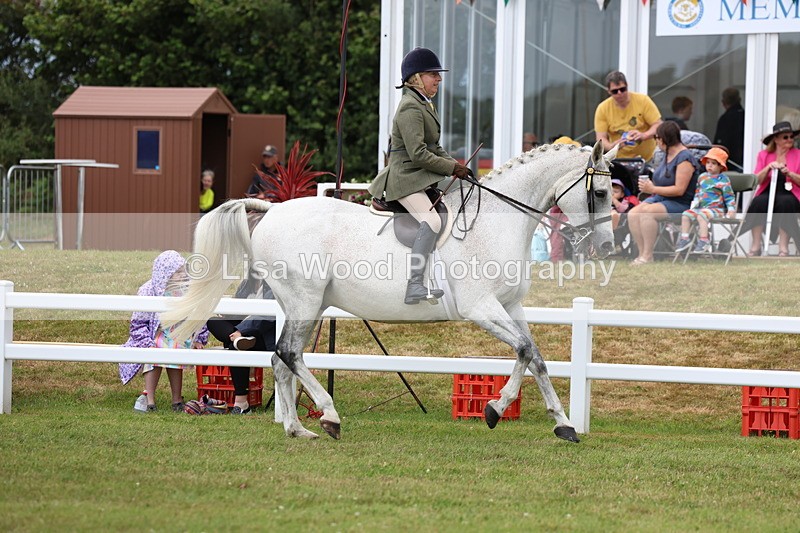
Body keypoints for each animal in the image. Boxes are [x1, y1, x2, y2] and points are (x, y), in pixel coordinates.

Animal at [164, 141, 618, 442]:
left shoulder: (511, 305)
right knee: (289, 354)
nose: (608, 247)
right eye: (600, 193)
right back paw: (329, 417)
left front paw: (555, 422)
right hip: (305, 299)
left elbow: (534, 355)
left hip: (302, 304)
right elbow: (525, 351)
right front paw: (503, 410)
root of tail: (273, 208)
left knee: (280, 358)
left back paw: (297, 428)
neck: (495, 221)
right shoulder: (481, 307)